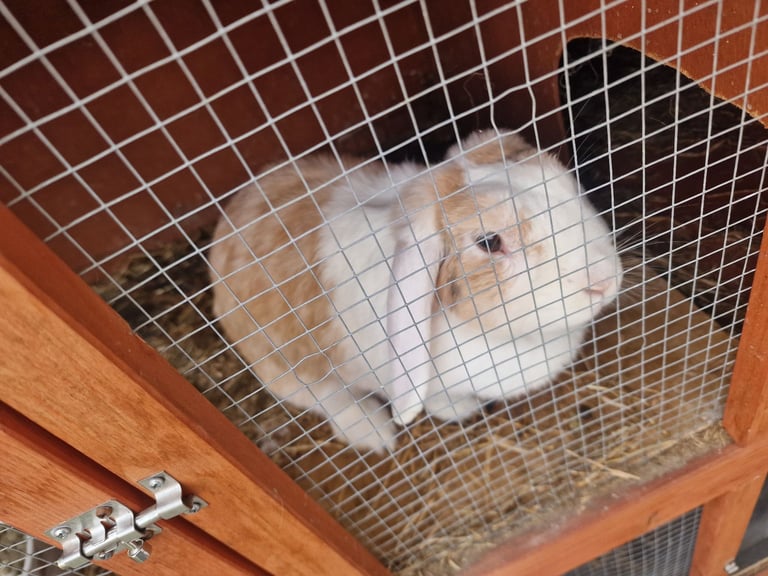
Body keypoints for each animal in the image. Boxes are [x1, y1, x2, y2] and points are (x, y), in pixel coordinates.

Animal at [208, 129, 623, 452]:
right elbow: (434, 400)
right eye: (490, 242)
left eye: (566, 183)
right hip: (285, 365)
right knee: (319, 395)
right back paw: (375, 433)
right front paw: (460, 411)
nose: (604, 281)